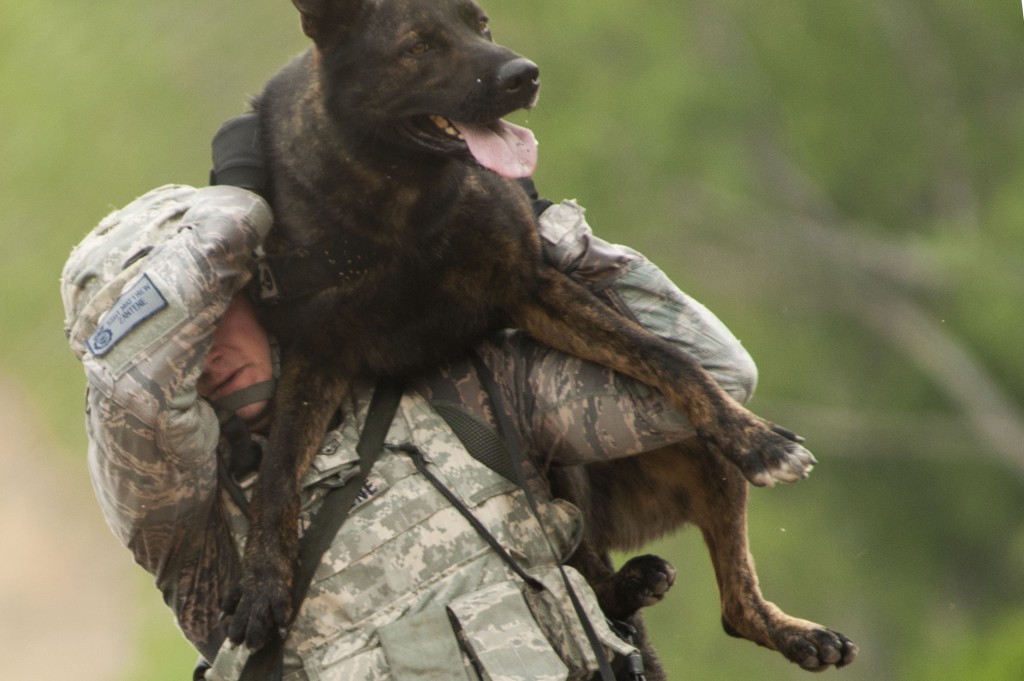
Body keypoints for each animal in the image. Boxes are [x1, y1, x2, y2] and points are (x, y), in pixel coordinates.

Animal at [228, 0, 860, 671]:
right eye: (419, 45)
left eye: (480, 22)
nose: (523, 76)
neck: (404, 204)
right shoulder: (316, 354)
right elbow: (277, 474)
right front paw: (263, 580)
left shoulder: (530, 288)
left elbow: (664, 355)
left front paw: (755, 438)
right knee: (591, 578)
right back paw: (631, 585)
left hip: (687, 454)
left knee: (720, 603)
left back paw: (785, 628)